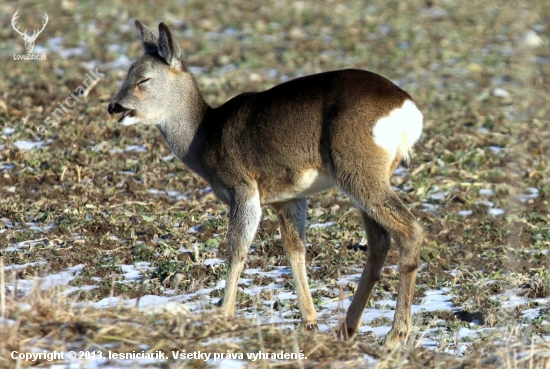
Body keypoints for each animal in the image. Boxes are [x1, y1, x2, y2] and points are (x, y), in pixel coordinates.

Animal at [110, 20, 424, 348]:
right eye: (128, 71)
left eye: (143, 79)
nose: (113, 106)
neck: (205, 137)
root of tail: (406, 110)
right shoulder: (288, 197)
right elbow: (295, 249)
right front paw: (308, 321)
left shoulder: (242, 186)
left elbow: (237, 247)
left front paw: (224, 312)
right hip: (364, 176)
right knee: (380, 241)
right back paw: (347, 328)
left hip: (357, 169)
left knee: (409, 229)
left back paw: (395, 334)